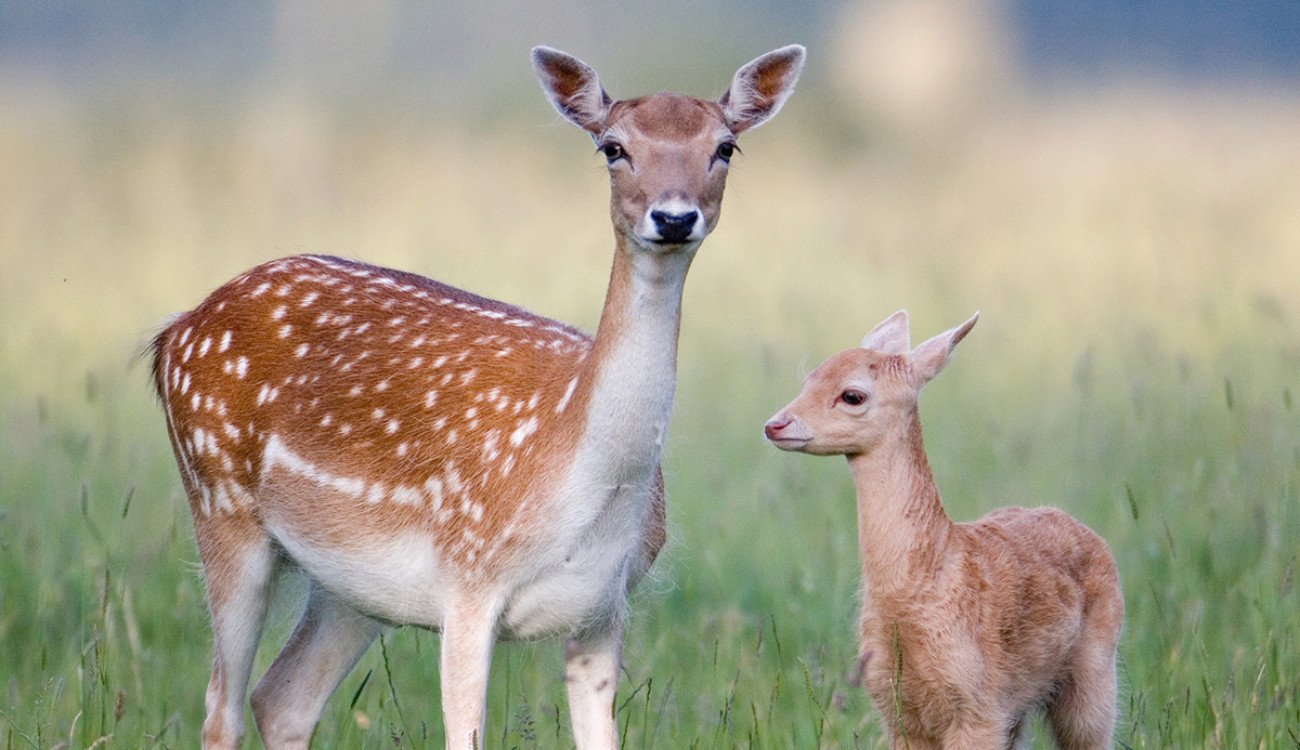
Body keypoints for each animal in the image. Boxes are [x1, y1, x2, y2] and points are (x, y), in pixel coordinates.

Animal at [152, 46, 800, 748]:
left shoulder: (603, 608)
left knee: (282, 697)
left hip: (351, 587)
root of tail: (173, 333)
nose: (675, 216)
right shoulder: (467, 581)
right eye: (613, 147)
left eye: (725, 147)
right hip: (219, 501)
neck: (582, 478)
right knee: (222, 708)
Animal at [764, 308, 1123, 743]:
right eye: (809, 378)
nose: (775, 424)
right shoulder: (897, 710)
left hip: (1096, 673)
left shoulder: (978, 705)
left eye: (852, 395)